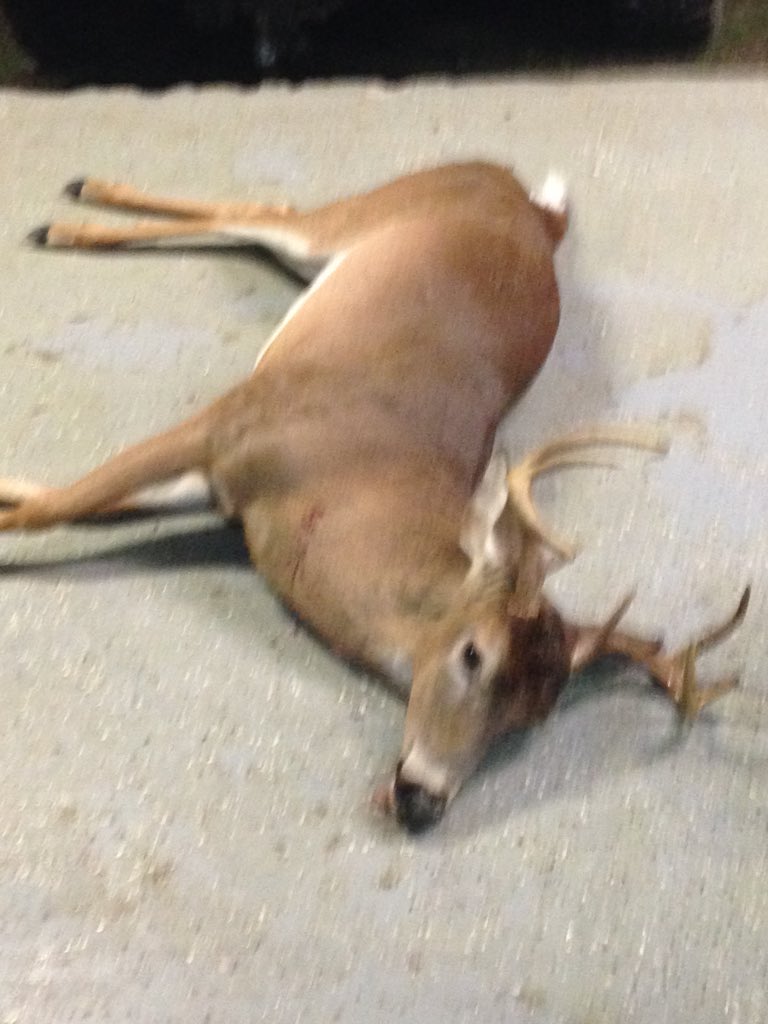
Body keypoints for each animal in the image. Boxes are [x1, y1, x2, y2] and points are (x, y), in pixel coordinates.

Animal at [0, 161, 749, 832]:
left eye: (533, 716)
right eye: (473, 654)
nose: (423, 801)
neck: (348, 482)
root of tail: (534, 209)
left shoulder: (224, 486)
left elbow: (61, 499)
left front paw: (12, 488)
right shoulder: (230, 423)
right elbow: (55, 508)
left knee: (257, 218)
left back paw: (73, 208)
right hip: (368, 210)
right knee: (264, 210)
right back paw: (67, 215)